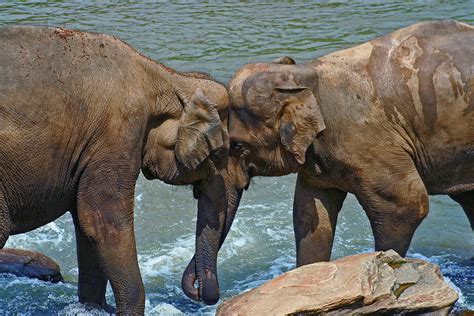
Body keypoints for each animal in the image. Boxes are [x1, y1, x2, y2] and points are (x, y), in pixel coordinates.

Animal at [0, 26, 232, 314]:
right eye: (220, 152)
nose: (199, 292)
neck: (164, 76)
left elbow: (85, 224)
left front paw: (96, 308)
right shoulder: (117, 134)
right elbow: (102, 221)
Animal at [182, 20, 474, 304]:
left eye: (238, 147)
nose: (197, 292)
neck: (304, 75)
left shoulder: (368, 140)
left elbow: (406, 205)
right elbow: (310, 215)